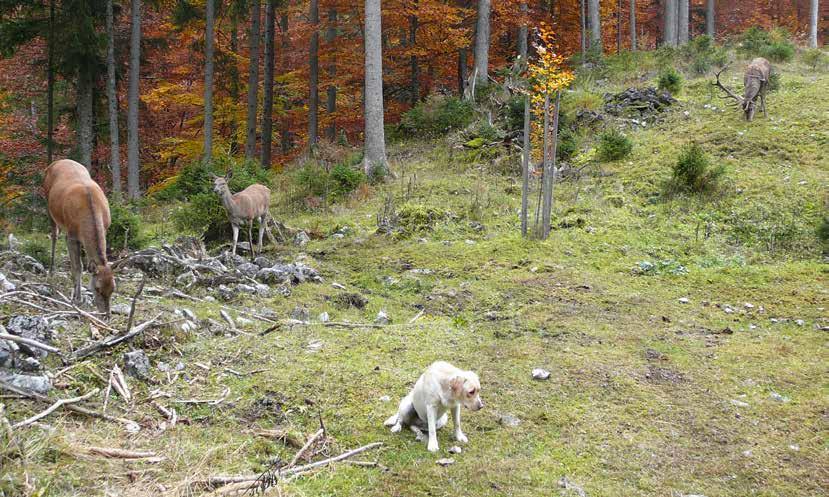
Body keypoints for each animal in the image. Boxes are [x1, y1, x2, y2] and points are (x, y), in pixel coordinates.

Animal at [43, 159, 115, 318]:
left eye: (113, 288)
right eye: (97, 288)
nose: (106, 315)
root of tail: (56, 161)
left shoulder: (105, 229)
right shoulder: (72, 236)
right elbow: (78, 267)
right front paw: (78, 298)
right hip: (48, 206)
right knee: (54, 235)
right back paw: (51, 271)